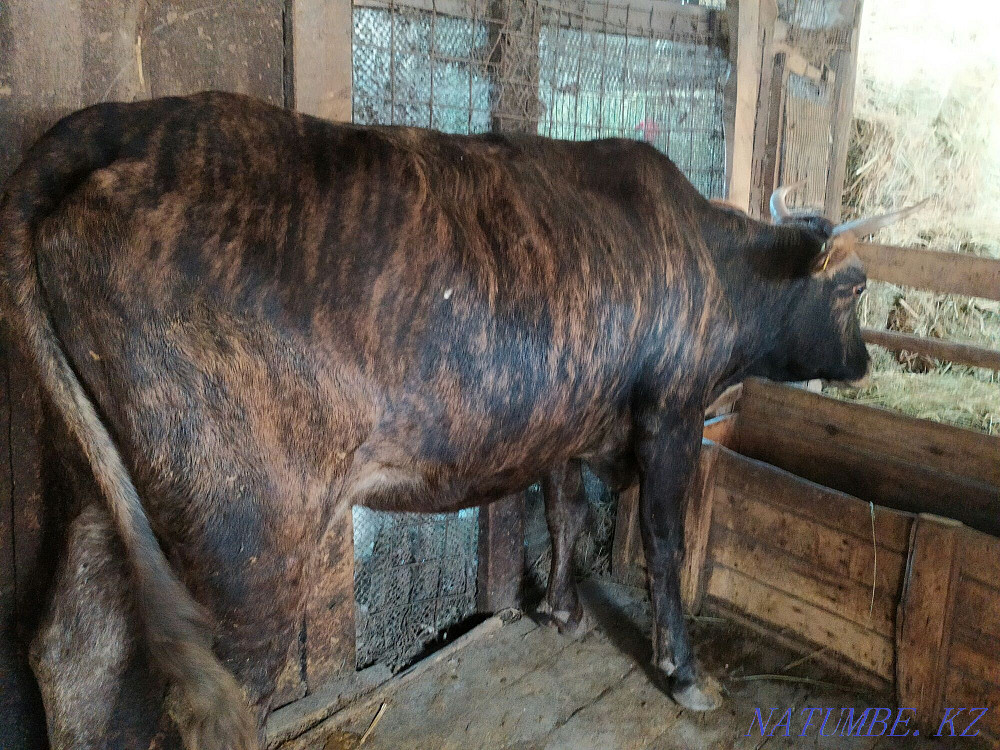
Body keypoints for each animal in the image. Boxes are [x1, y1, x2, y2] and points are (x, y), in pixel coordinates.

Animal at [0, 91, 919, 749]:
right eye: (853, 287)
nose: (865, 365)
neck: (710, 261)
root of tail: (122, 124)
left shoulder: (570, 413)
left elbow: (562, 507)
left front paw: (562, 612)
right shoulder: (671, 413)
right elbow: (661, 541)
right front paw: (684, 673)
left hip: (114, 487)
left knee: (72, 653)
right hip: (246, 531)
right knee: (203, 701)